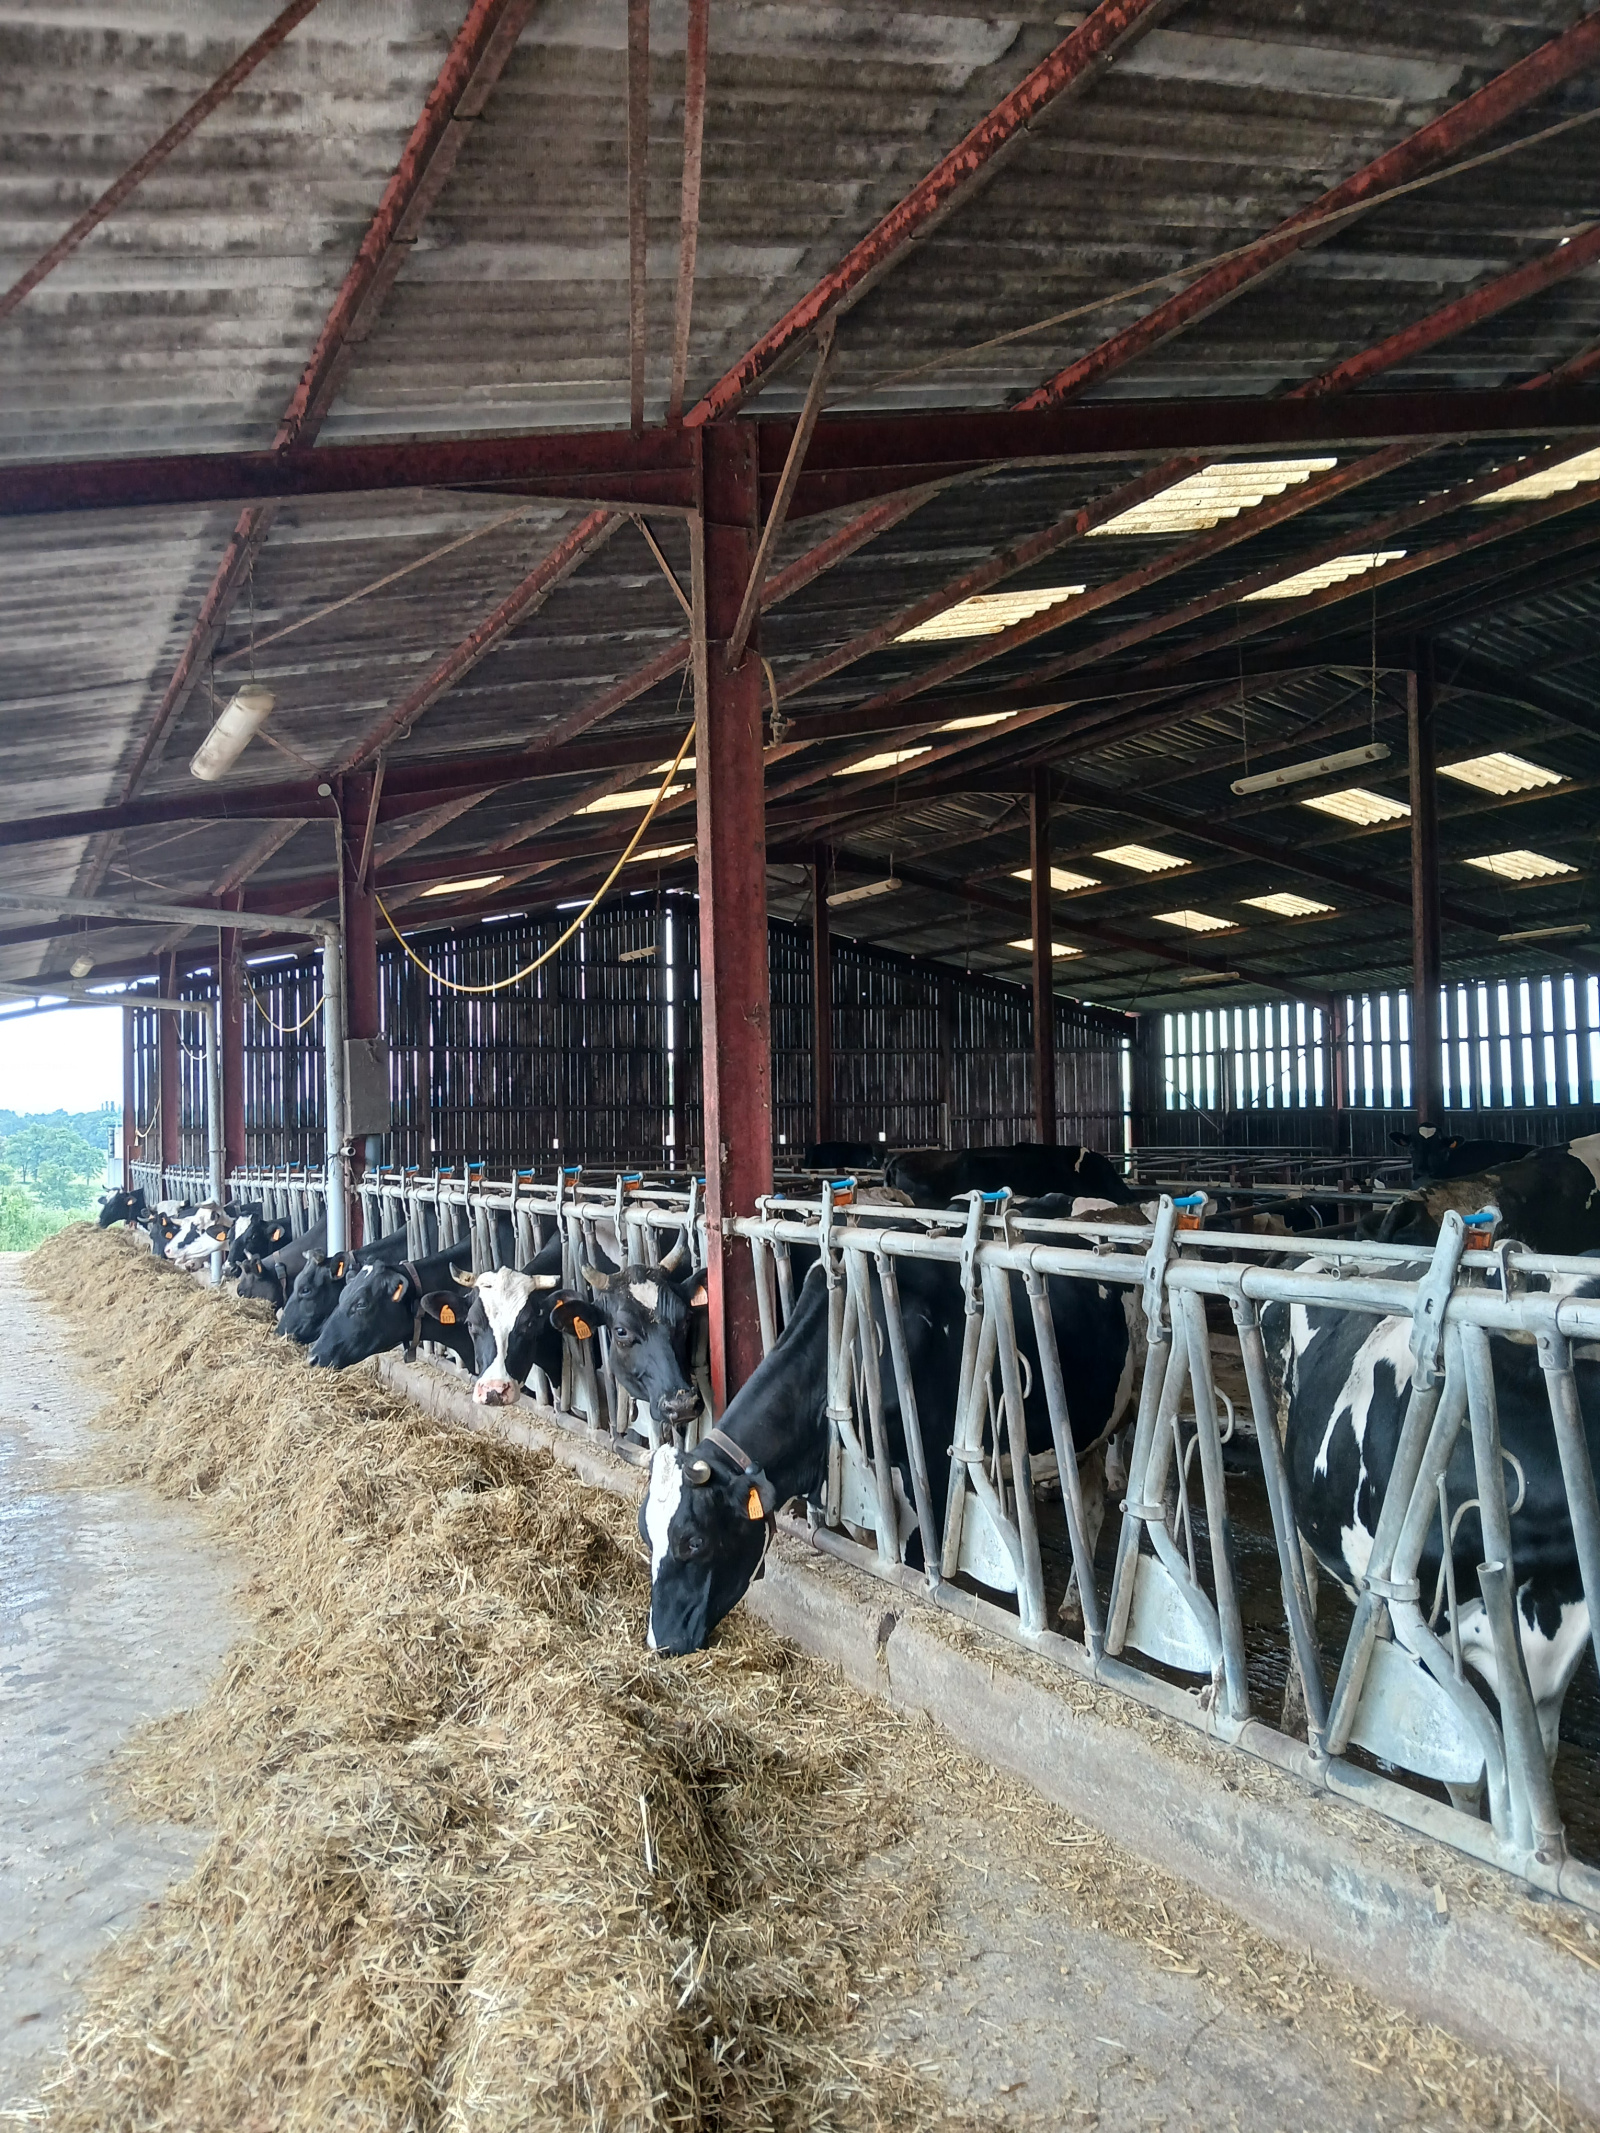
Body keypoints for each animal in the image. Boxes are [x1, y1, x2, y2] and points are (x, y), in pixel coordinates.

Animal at [640, 1194, 1135, 1655]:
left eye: (693, 1541)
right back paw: (1072, 1606)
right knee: (1087, 1507)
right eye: (648, 1535)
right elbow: (871, 1533)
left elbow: (919, 1557)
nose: (660, 1643)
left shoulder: (932, 1473)